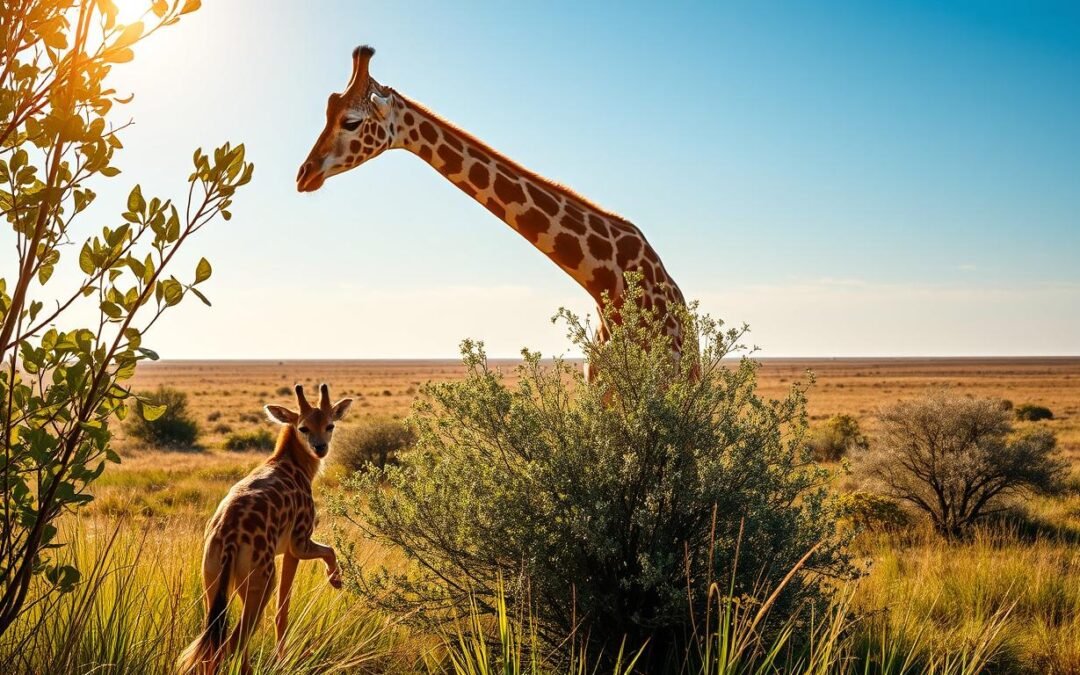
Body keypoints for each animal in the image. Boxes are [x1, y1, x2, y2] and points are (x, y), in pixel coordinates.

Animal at [177, 384, 351, 675]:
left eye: (330, 425)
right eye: (303, 427)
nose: (320, 448)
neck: (291, 463)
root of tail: (229, 539)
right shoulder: (298, 544)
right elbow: (285, 609)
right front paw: (335, 580)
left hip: (213, 583)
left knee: (212, 647)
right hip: (263, 580)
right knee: (231, 643)